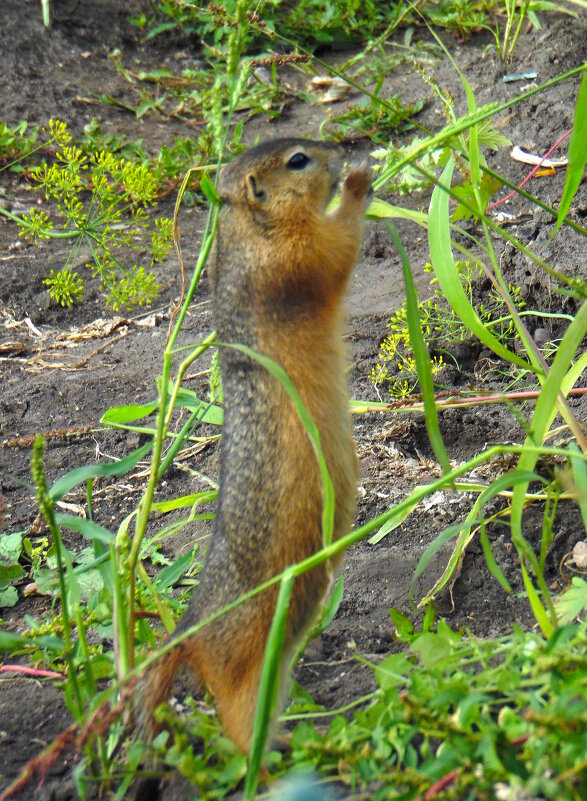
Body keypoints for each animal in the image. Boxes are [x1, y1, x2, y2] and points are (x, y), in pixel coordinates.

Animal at [141, 139, 372, 756]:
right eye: (298, 161)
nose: (338, 151)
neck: (249, 228)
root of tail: (187, 632)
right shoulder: (293, 259)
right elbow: (335, 250)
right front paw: (360, 182)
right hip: (246, 672)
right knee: (238, 726)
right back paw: (274, 763)